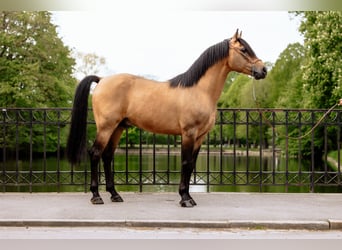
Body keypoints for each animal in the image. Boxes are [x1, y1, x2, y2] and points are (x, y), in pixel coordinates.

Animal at [66, 29, 268, 207]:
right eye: (243, 50)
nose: (263, 70)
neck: (199, 91)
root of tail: (101, 79)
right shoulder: (188, 133)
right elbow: (186, 163)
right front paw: (185, 199)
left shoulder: (200, 137)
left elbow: (191, 164)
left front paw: (188, 197)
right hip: (106, 127)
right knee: (95, 154)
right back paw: (96, 196)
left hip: (118, 127)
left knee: (107, 156)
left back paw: (115, 195)